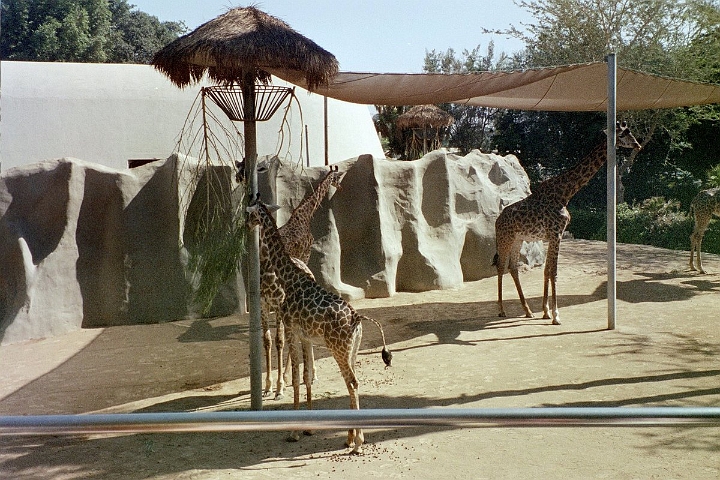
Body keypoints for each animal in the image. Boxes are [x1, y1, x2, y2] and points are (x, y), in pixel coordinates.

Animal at [247, 197, 392, 455]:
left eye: (249, 214)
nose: (245, 226)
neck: (289, 277)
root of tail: (357, 318)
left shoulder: (291, 330)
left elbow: (296, 377)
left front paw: (294, 432)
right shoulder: (304, 336)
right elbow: (305, 375)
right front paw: (308, 427)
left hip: (338, 349)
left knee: (352, 382)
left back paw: (357, 444)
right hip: (351, 350)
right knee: (352, 383)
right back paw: (350, 438)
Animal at [260, 165, 344, 399]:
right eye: (338, 177)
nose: (341, 186)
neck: (304, 215)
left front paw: (282, 381)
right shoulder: (305, 255)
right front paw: (280, 381)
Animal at [493, 122, 642, 325]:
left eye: (629, 131)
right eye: (624, 133)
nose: (638, 145)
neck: (565, 194)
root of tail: (497, 221)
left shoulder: (553, 235)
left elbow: (547, 270)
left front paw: (546, 311)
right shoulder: (557, 233)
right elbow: (554, 272)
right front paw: (556, 315)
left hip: (518, 239)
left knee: (513, 268)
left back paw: (528, 310)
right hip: (505, 238)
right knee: (501, 267)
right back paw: (501, 310)